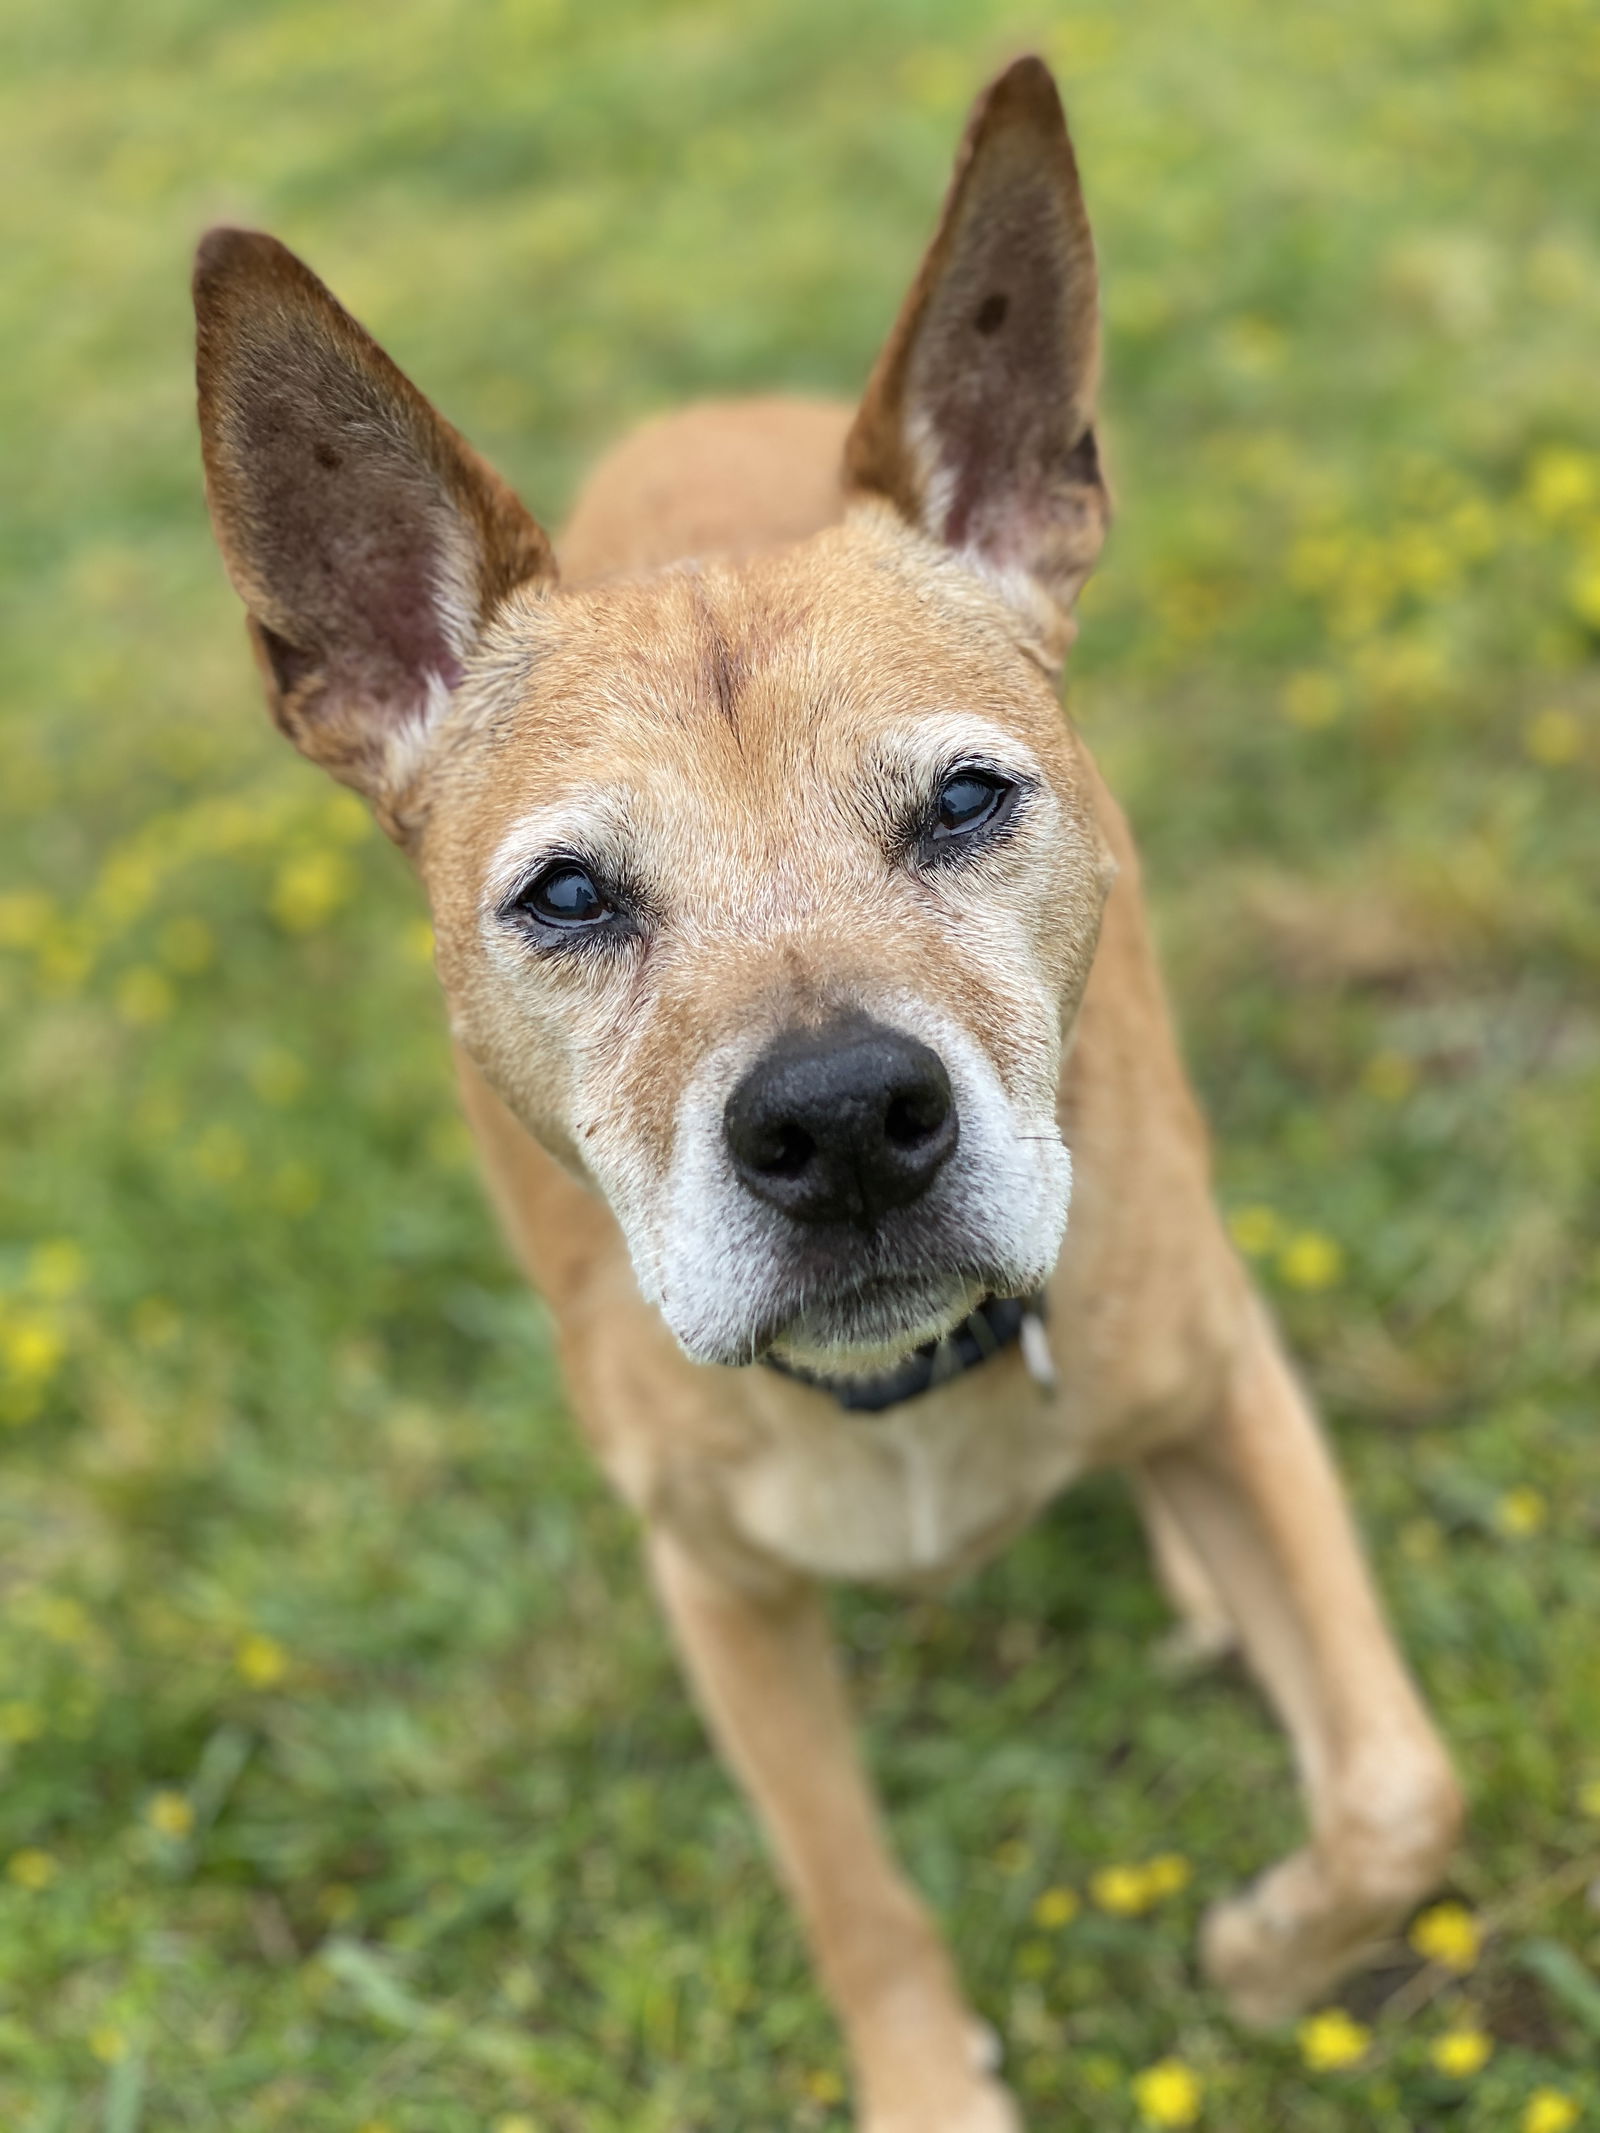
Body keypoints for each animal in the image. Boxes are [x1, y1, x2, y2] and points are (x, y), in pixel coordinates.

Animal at [190, 58, 1467, 2124]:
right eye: (568, 894)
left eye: (964, 798)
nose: (846, 1122)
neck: (898, 1395)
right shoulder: (718, 1595)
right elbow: (850, 1890)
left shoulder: (1226, 1368)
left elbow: (1398, 1787)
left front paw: (1271, 1947)